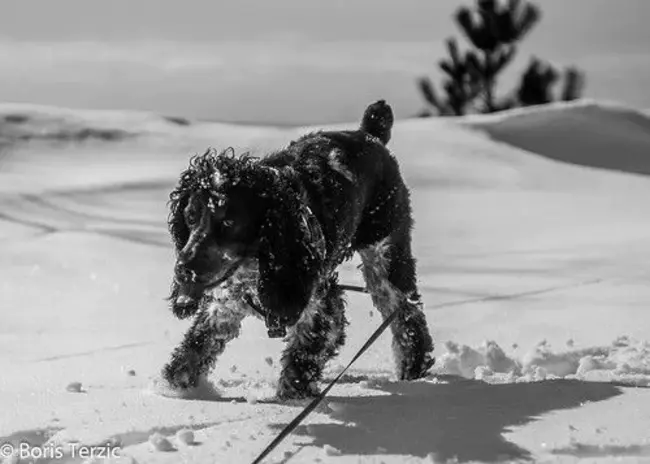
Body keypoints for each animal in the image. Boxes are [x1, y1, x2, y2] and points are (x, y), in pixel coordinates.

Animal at [163, 101, 436, 398]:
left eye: (228, 222)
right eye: (190, 217)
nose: (183, 270)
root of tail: (370, 133)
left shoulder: (322, 307)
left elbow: (300, 364)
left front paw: (291, 401)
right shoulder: (226, 302)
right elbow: (194, 349)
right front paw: (174, 391)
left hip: (385, 254)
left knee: (407, 314)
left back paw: (414, 371)